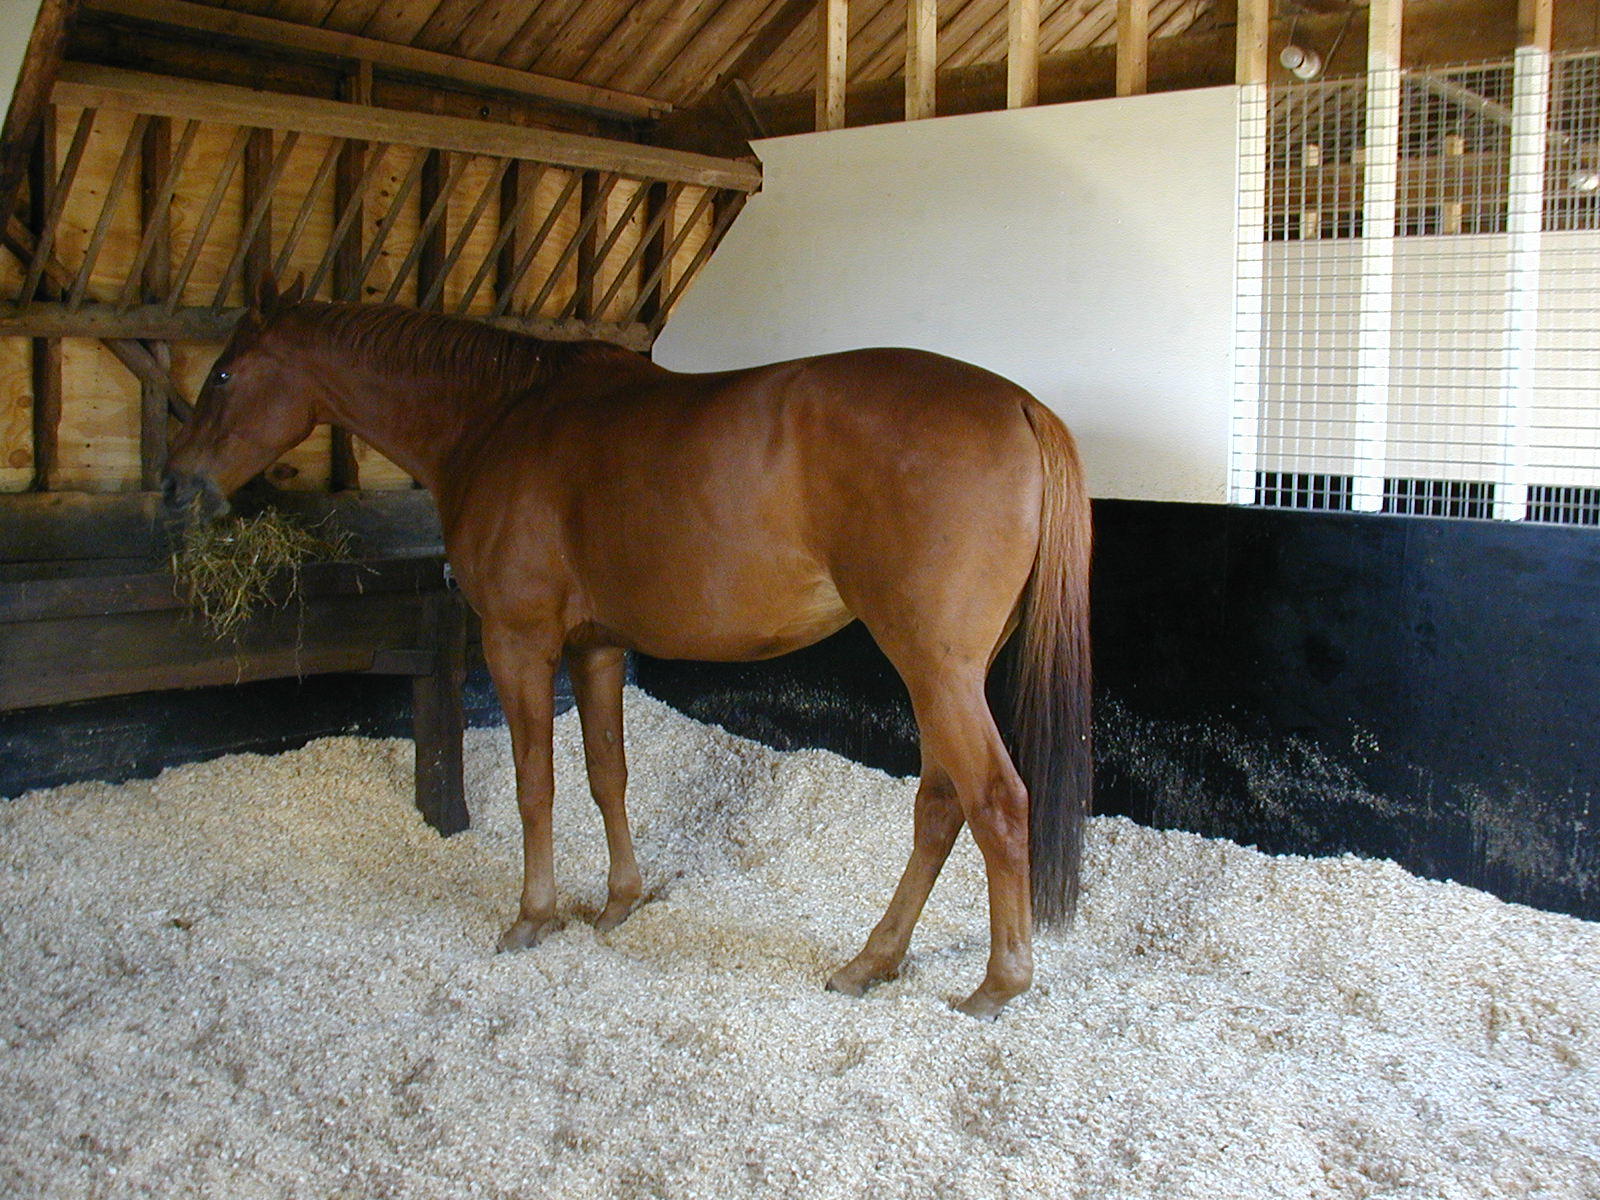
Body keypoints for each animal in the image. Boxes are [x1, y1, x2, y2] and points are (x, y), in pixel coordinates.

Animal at [164, 274, 1092, 1019]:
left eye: (223, 372)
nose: (177, 487)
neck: (498, 419)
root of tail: (1020, 406)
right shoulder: (596, 649)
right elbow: (606, 773)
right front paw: (618, 903)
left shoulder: (518, 642)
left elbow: (536, 784)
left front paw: (533, 915)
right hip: (948, 675)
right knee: (939, 806)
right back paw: (874, 959)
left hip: (935, 669)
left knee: (995, 803)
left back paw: (996, 984)